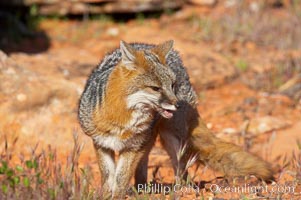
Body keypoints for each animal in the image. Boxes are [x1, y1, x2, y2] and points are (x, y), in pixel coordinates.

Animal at [78, 40, 274, 198]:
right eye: (155, 88)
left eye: (171, 86)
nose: (179, 104)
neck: (121, 119)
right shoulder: (102, 144)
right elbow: (108, 177)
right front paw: (106, 195)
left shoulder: (133, 147)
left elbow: (121, 178)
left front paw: (117, 195)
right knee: (144, 166)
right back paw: (141, 190)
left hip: (171, 140)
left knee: (181, 170)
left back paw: (181, 191)